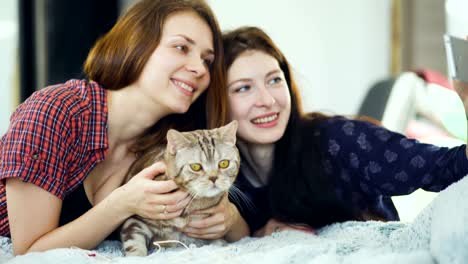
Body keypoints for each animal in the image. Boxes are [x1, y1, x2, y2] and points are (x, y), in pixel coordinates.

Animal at [120, 121, 239, 256]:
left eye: (224, 163)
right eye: (196, 167)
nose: (213, 177)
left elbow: (219, 243)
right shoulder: (135, 220)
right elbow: (134, 244)